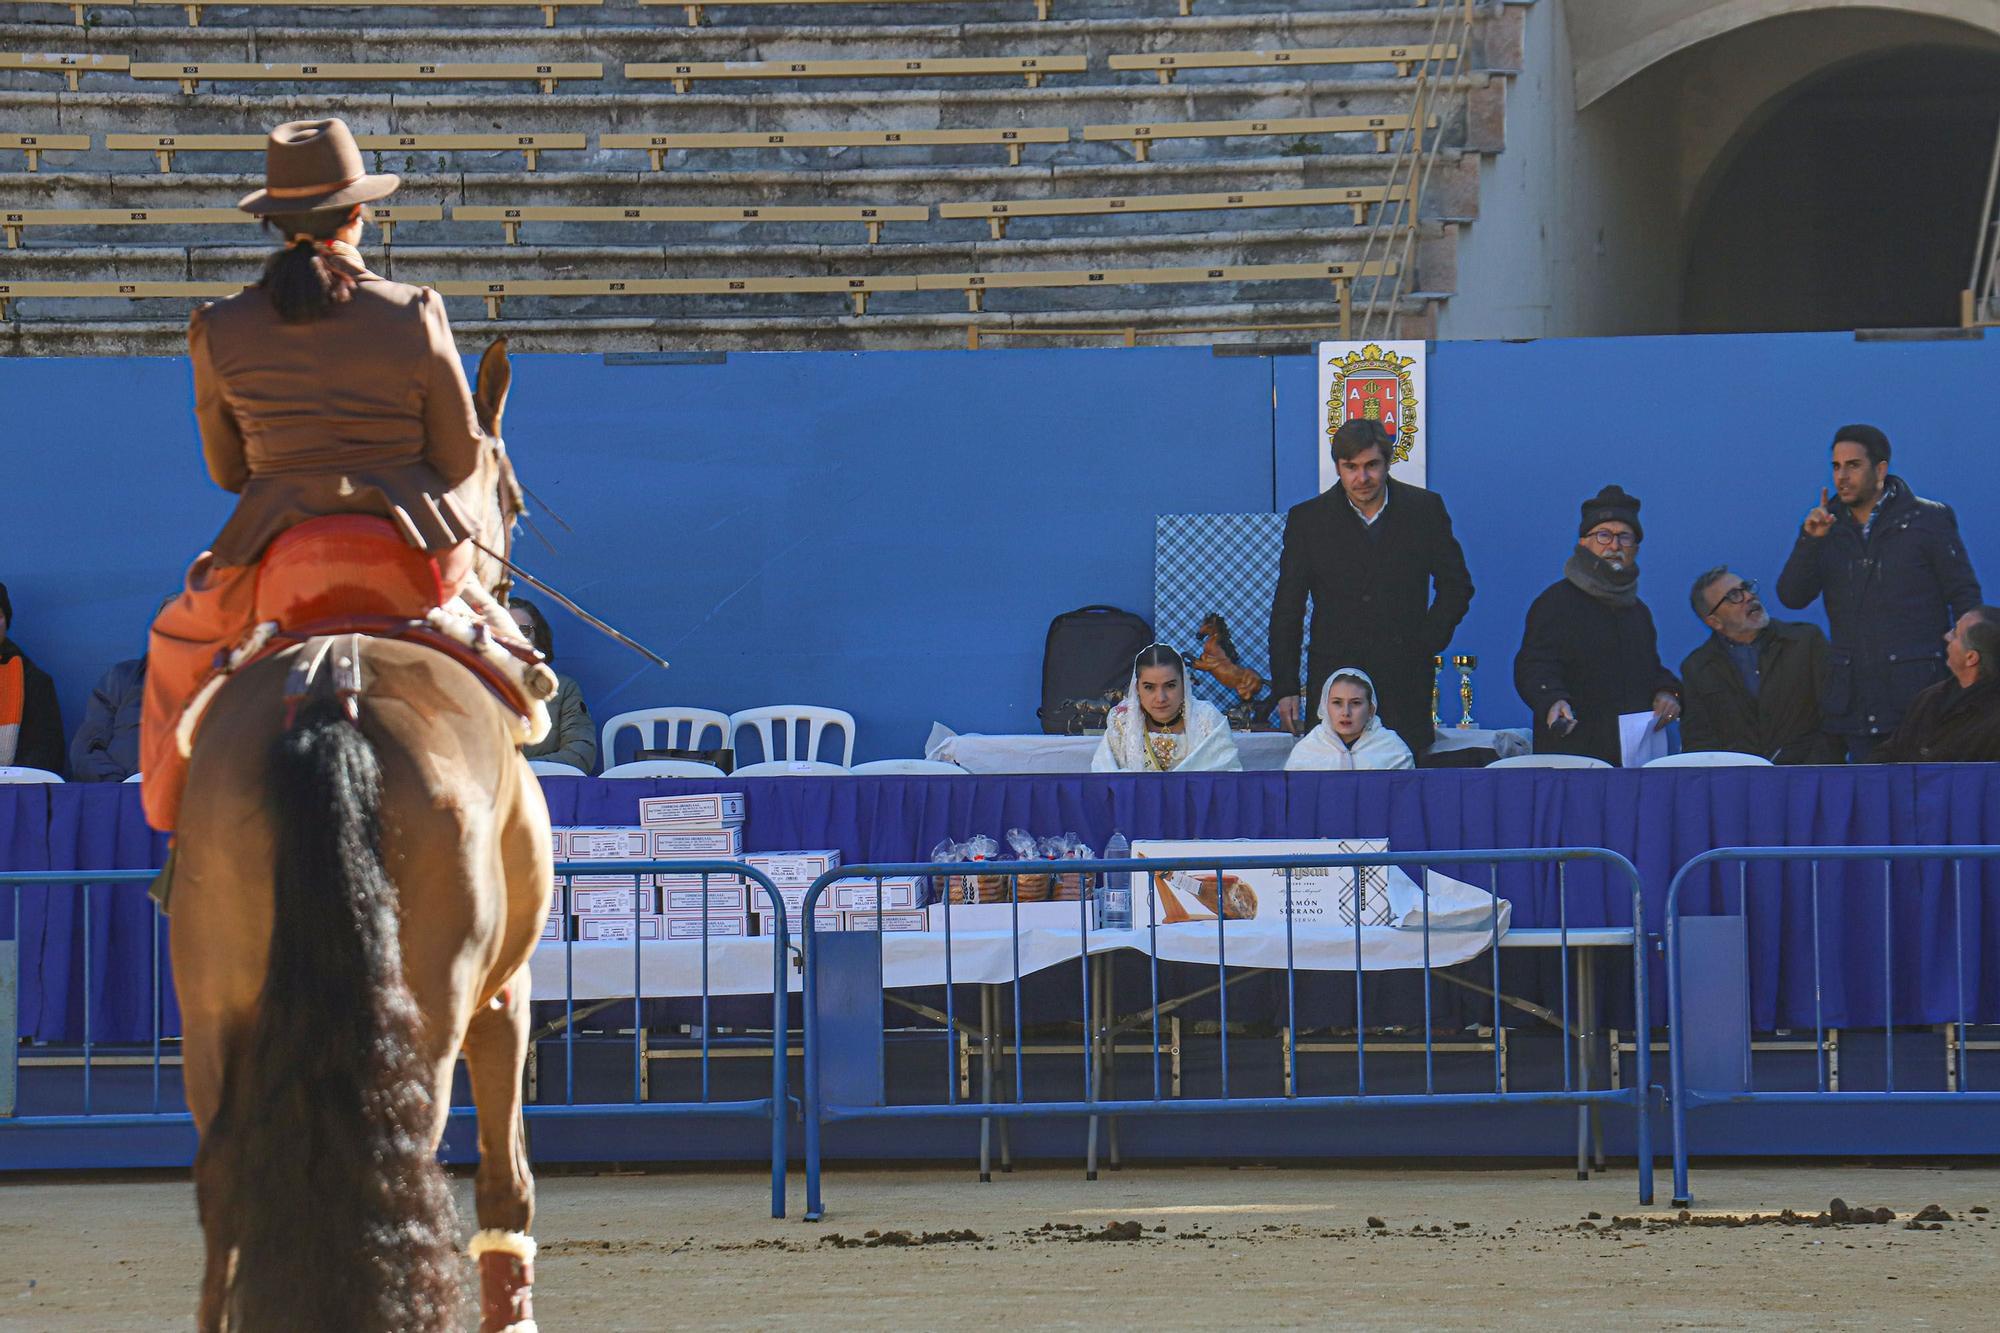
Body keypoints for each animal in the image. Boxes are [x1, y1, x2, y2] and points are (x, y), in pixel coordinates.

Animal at [165, 338, 552, 1320]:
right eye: (514, 499)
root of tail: (331, 689)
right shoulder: (508, 995)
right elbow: (506, 1185)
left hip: (212, 1001)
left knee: (222, 1183)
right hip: (436, 1003)